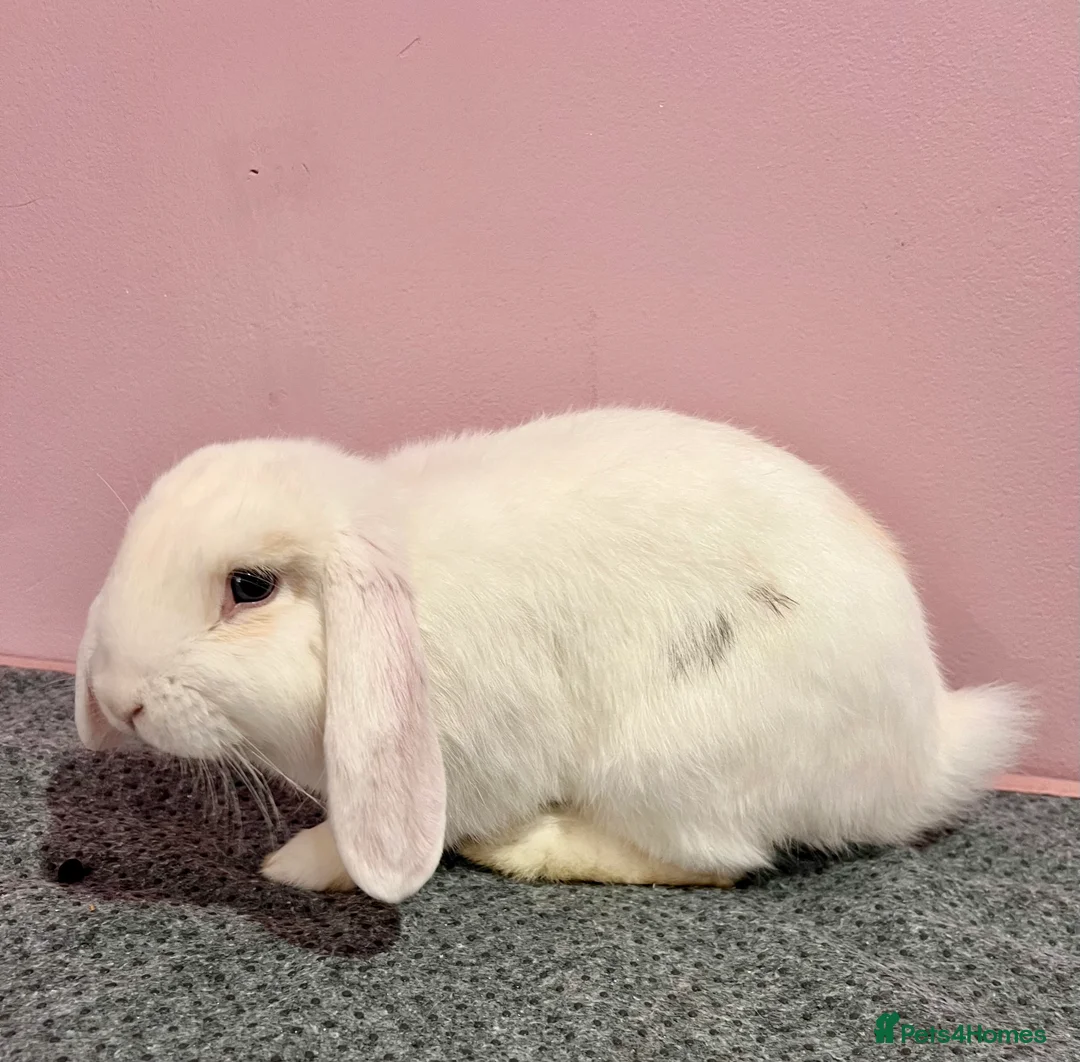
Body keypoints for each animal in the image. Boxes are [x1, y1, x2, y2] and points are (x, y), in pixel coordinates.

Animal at [74, 407, 1029, 904]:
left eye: (250, 586)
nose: (119, 700)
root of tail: (917, 762)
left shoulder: (461, 762)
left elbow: (371, 838)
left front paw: (298, 865)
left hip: (669, 761)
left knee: (716, 861)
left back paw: (529, 847)